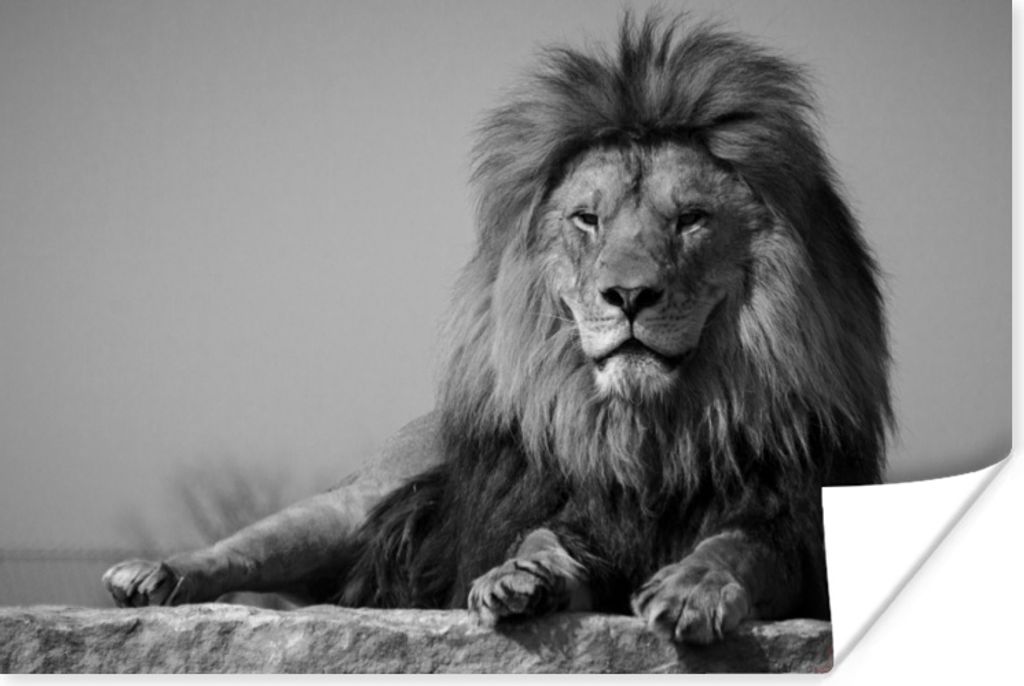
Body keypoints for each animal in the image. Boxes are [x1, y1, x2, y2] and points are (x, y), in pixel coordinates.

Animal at [103, 14, 890, 646]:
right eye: (588, 219)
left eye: (690, 219)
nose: (629, 295)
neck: (649, 432)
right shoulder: (563, 510)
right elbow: (538, 535)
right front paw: (520, 576)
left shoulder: (795, 525)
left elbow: (738, 546)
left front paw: (693, 588)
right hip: (350, 506)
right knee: (249, 545)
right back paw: (152, 575)